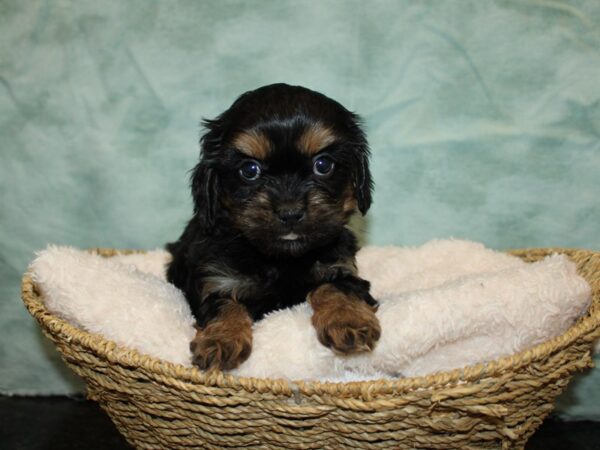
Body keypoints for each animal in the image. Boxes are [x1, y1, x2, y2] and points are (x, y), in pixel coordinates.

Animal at [164, 83, 380, 370]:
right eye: (249, 170)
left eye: (323, 165)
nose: (290, 213)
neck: (281, 259)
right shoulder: (214, 277)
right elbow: (224, 303)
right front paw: (221, 340)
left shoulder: (340, 265)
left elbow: (337, 286)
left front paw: (348, 320)